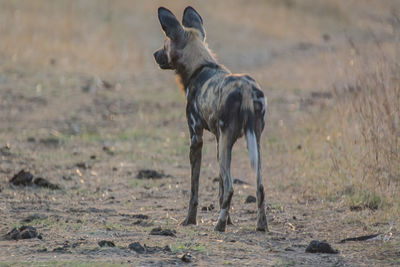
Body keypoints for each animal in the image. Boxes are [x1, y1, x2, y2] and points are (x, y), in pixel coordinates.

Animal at [153, 5, 268, 232]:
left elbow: (195, 190)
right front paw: (230, 220)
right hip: (251, 142)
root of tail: (246, 88)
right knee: (259, 186)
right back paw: (261, 226)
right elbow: (220, 188)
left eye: (164, 44)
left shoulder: (196, 138)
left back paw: (219, 225)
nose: (155, 54)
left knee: (232, 187)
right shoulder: (219, 140)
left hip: (228, 141)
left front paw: (190, 220)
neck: (200, 66)